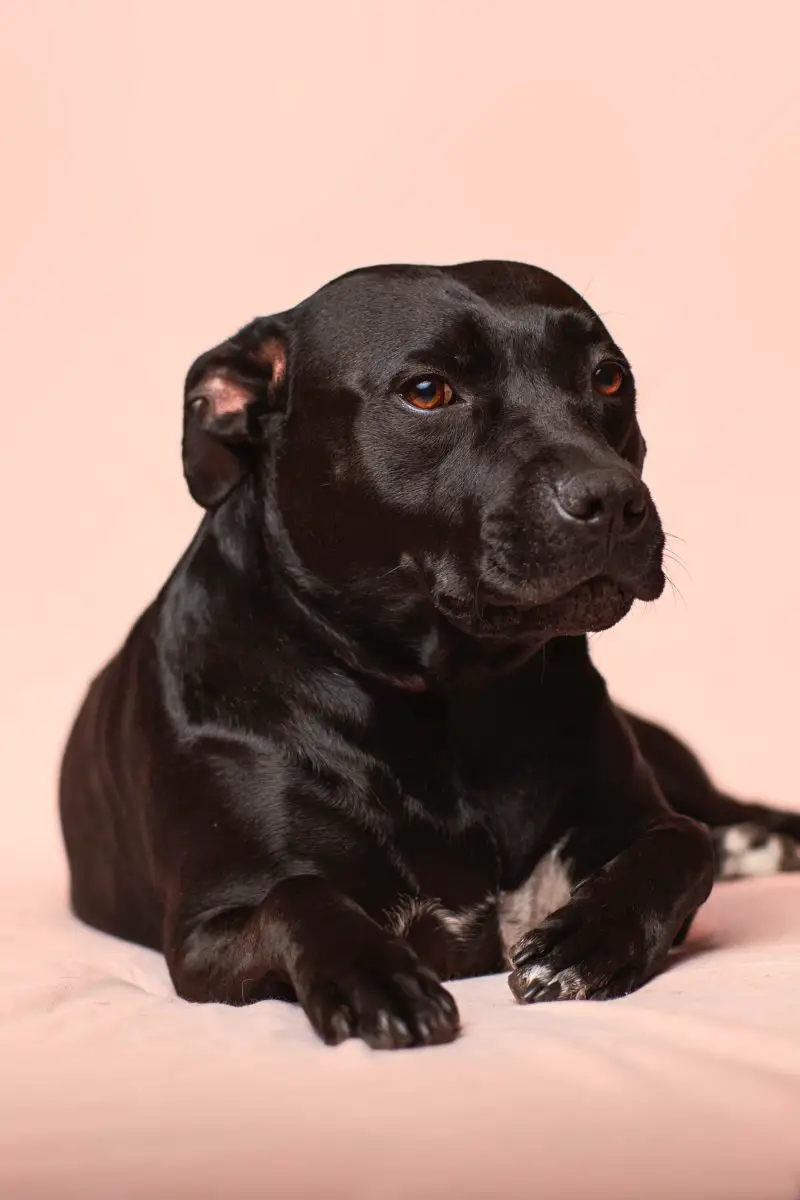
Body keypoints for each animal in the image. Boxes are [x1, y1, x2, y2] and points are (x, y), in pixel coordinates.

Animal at [57, 262, 800, 1051]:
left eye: (607, 378)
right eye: (426, 390)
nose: (613, 500)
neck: (456, 702)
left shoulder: (638, 818)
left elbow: (680, 848)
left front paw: (586, 941)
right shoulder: (207, 929)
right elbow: (300, 896)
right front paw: (375, 976)